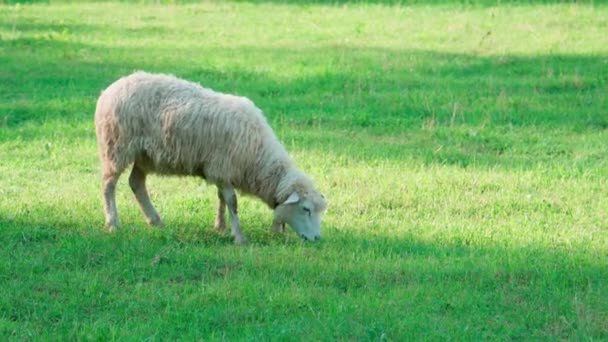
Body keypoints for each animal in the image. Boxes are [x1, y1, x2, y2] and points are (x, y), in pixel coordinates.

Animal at [94, 71, 328, 243]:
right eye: (306, 209)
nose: (317, 239)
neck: (258, 156)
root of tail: (110, 89)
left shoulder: (220, 170)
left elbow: (221, 198)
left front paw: (220, 226)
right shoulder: (223, 167)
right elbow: (232, 202)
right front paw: (238, 236)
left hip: (144, 155)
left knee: (136, 182)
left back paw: (155, 220)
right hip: (116, 147)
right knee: (108, 185)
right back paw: (112, 222)